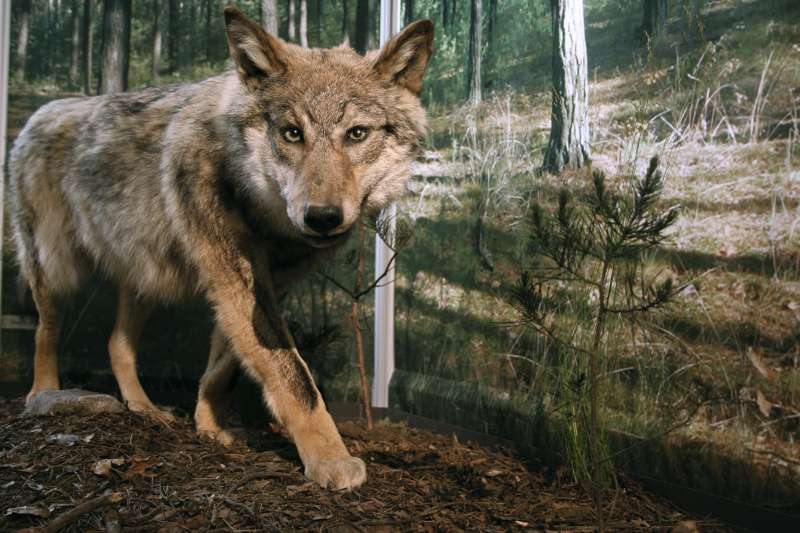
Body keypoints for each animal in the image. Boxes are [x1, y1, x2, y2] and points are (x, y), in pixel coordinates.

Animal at [6, 6, 434, 488]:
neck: (261, 212)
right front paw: (331, 460)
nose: (321, 217)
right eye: (292, 133)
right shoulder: (237, 280)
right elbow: (296, 380)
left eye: (357, 134)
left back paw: (144, 409)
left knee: (116, 344)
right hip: (56, 270)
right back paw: (45, 395)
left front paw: (209, 427)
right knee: (45, 332)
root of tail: (42, 111)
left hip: (144, 277)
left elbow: (223, 368)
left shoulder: (260, 287)